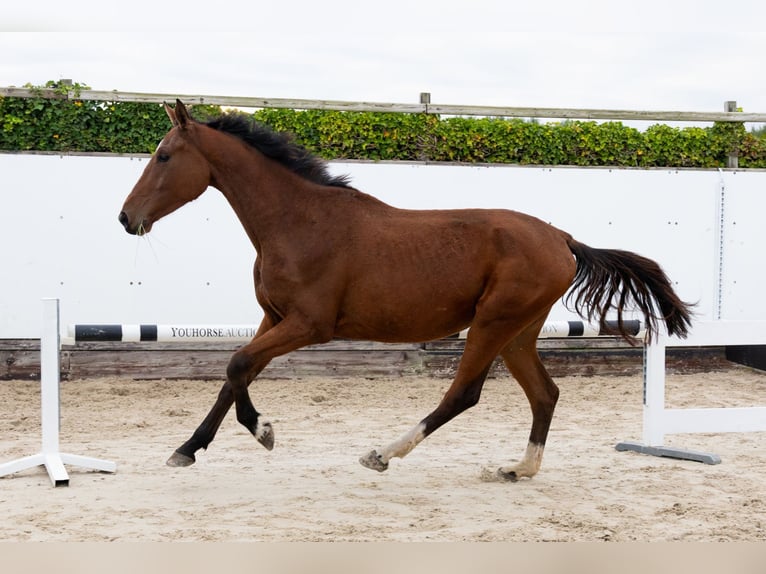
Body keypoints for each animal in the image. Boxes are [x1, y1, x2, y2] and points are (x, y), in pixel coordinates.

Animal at [119, 100, 692, 481]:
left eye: (164, 156)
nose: (127, 218)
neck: (298, 221)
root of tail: (563, 239)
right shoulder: (273, 318)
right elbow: (233, 374)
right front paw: (188, 448)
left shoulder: (309, 325)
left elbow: (237, 365)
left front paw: (263, 431)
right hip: (518, 331)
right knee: (545, 394)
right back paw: (517, 469)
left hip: (493, 323)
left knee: (464, 393)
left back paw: (383, 453)